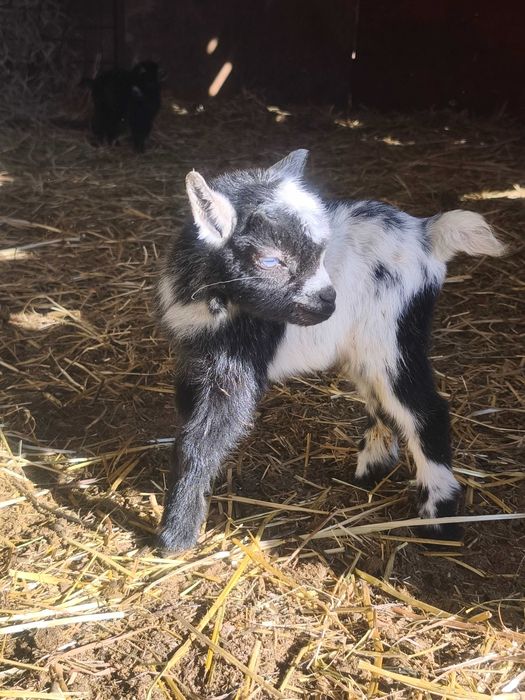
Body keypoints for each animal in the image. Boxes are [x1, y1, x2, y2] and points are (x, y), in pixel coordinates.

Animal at [156, 149, 504, 553]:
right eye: (270, 260)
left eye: (321, 253)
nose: (329, 302)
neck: (212, 297)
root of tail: (425, 233)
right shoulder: (194, 356)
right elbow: (186, 424)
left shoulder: (236, 366)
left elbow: (202, 440)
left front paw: (175, 535)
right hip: (364, 348)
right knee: (381, 400)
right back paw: (371, 469)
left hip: (393, 334)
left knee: (424, 410)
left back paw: (440, 522)